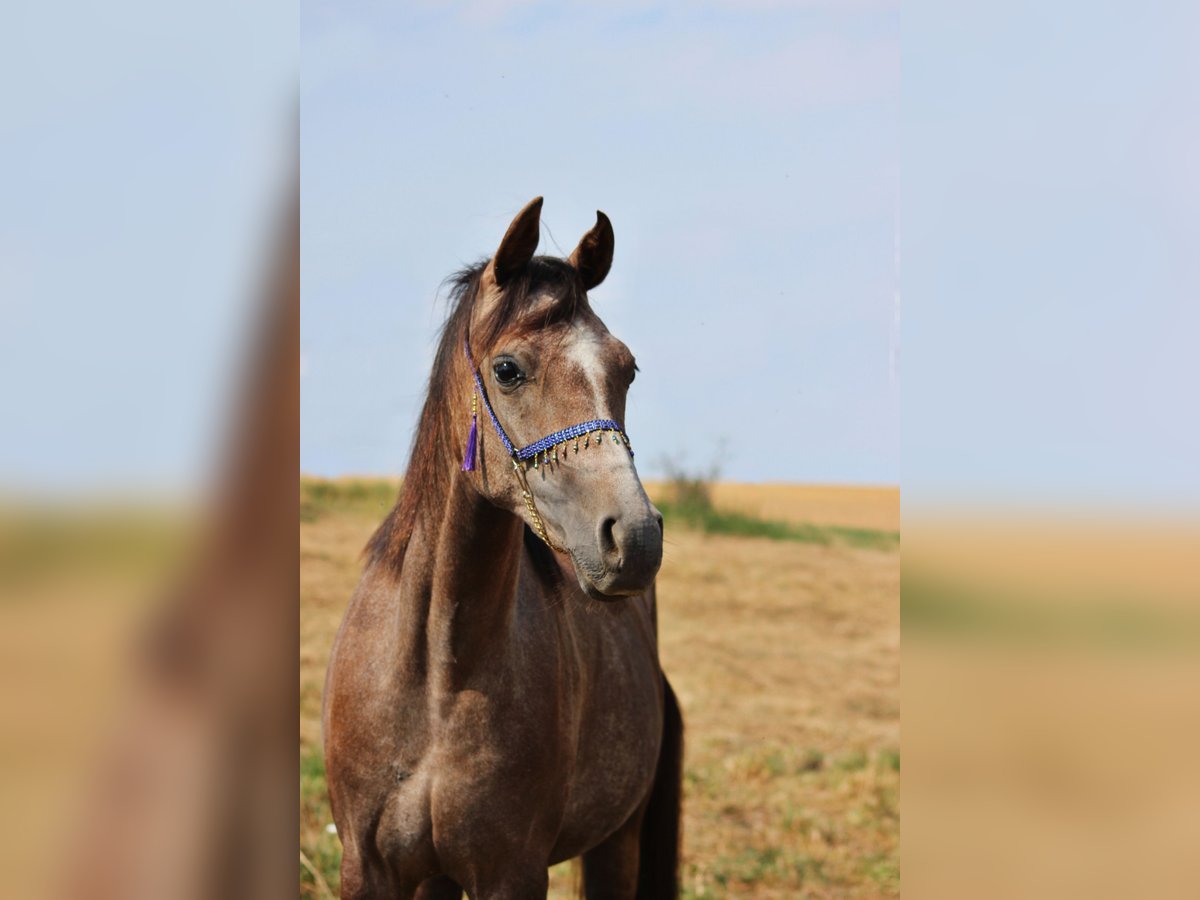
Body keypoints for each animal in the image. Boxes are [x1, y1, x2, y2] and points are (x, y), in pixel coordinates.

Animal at [324, 199, 686, 900]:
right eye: (508, 370)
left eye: (626, 368)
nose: (634, 539)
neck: (437, 676)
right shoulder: (369, 868)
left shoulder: (511, 872)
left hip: (618, 841)